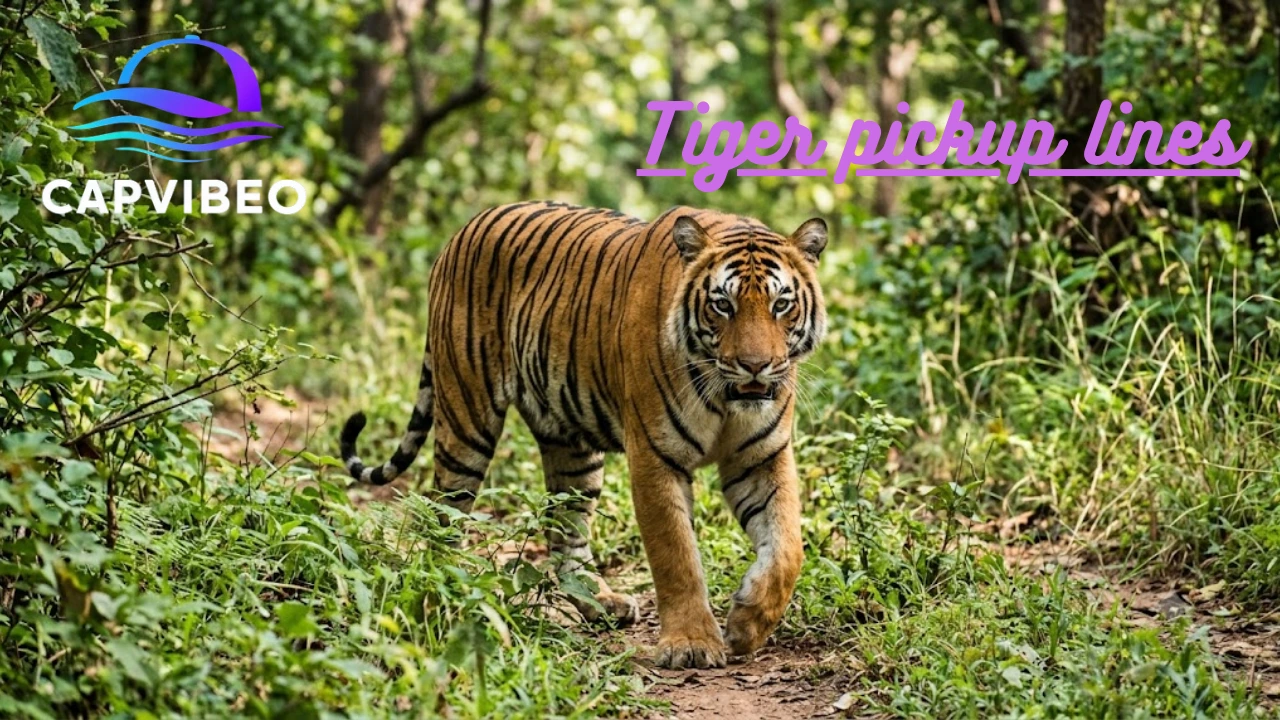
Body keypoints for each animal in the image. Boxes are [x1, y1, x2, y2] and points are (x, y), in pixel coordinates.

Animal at [340, 201, 827, 669]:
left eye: (781, 305)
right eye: (723, 305)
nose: (754, 366)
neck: (727, 397)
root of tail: (463, 229)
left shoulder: (761, 456)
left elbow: (788, 547)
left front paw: (747, 624)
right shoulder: (654, 457)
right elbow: (676, 556)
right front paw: (691, 644)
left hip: (571, 445)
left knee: (565, 531)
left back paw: (601, 601)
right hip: (466, 418)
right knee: (444, 514)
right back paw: (448, 588)